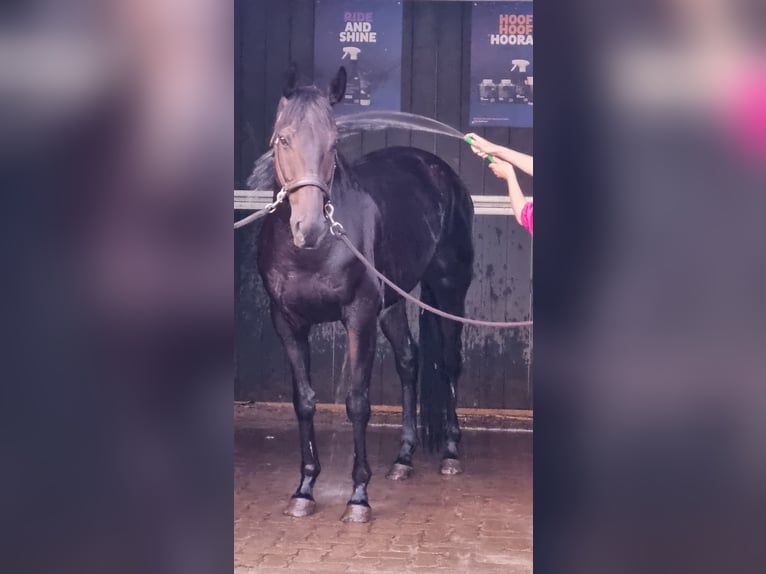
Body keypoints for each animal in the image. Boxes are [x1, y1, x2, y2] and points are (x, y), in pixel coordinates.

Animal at [248, 65, 474, 524]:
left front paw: (358, 497)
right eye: (283, 139)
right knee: (409, 361)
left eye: (334, 143)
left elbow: (357, 403)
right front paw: (304, 490)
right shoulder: (289, 324)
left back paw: (450, 452)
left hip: (448, 291)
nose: (310, 228)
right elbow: (304, 401)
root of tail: (437, 170)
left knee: (447, 363)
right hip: (394, 305)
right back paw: (403, 459)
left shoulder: (359, 317)